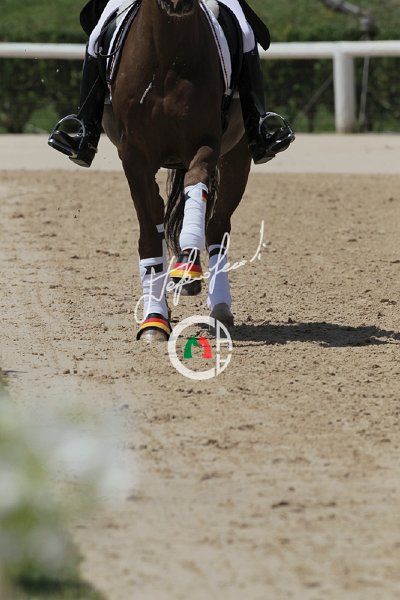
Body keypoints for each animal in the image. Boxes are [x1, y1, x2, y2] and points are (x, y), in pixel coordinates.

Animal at [102, 0, 252, 343]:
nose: (177, 3)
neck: (167, 54)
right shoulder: (133, 156)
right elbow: (149, 231)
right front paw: (154, 321)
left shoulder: (205, 144)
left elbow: (197, 189)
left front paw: (187, 263)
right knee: (158, 219)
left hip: (237, 158)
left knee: (216, 228)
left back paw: (217, 305)